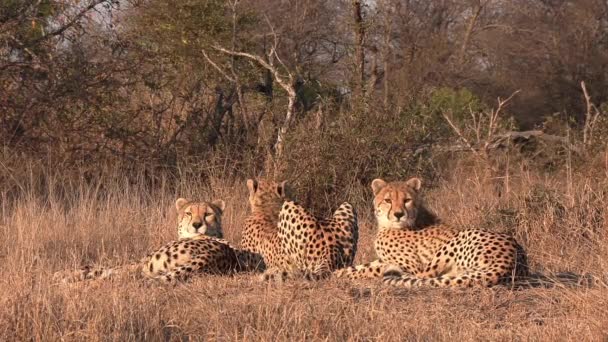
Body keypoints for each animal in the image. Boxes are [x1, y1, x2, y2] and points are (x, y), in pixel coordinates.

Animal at [334, 178, 528, 288]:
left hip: (459, 239)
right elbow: (365, 265)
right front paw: (338, 272)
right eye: (388, 200)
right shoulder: (384, 258)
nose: (398, 214)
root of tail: (514, 259)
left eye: (407, 200)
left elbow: (374, 268)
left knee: (423, 276)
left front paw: (341, 274)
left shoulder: (411, 265)